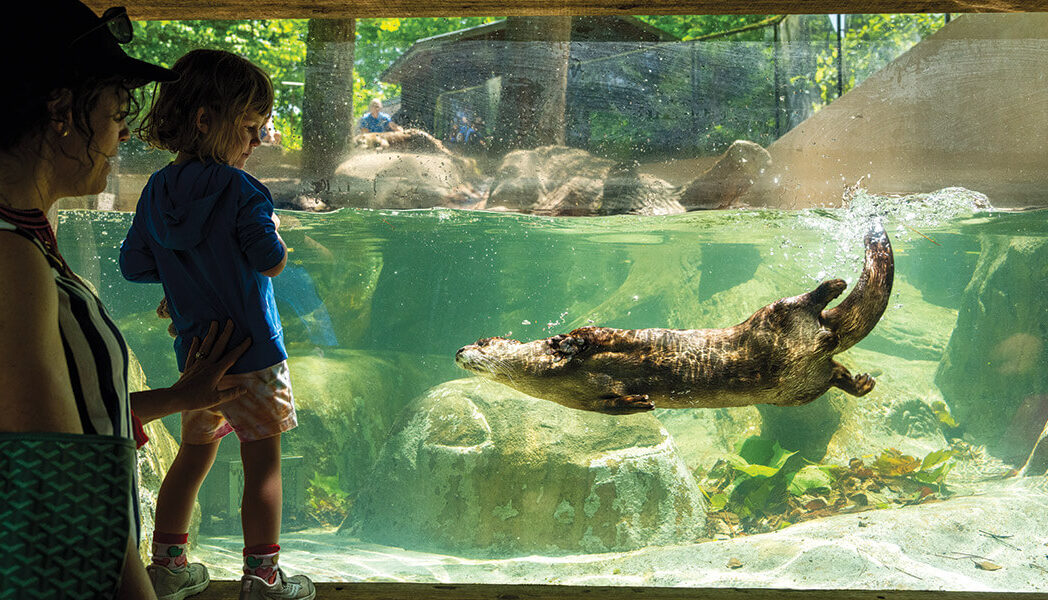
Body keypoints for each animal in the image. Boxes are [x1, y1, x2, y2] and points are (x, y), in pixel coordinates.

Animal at [455, 223, 894, 415]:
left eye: (482, 341)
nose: (459, 349)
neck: (544, 376)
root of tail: (825, 334)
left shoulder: (603, 338)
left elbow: (593, 333)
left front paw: (568, 342)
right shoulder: (588, 404)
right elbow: (613, 406)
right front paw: (641, 402)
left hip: (770, 319)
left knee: (795, 303)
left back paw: (831, 285)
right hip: (798, 388)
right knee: (834, 370)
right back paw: (862, 383)